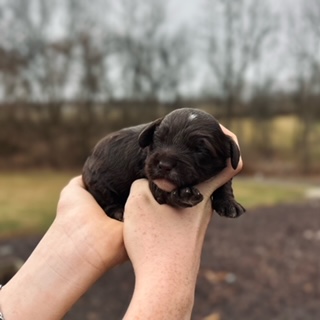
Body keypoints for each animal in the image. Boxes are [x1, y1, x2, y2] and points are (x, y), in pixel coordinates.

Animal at [82, 107, 245, 220]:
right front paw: (183, 195)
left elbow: (225, 184)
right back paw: (117, 210)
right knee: (107, 200)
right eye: (158, 139)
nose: (165, 165)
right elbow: (161, 189)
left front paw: (229, 203)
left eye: (200, 150)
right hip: (99, 182)